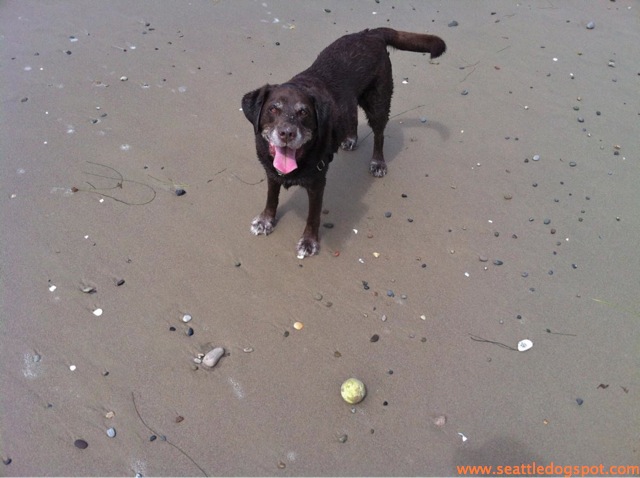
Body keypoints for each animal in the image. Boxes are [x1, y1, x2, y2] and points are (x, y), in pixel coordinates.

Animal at [240, 27, 444, 258]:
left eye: (304, 112)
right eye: (273, 109)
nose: (287, 133)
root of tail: (372, 33)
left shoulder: (317, 183)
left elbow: (313, 216)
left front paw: (309, 242)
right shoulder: (271, 173)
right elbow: (271, 198)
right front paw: (265, 221)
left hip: (378, 102)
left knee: (379, 134)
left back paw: (378, 163)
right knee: (352, 111)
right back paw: (350, 138)